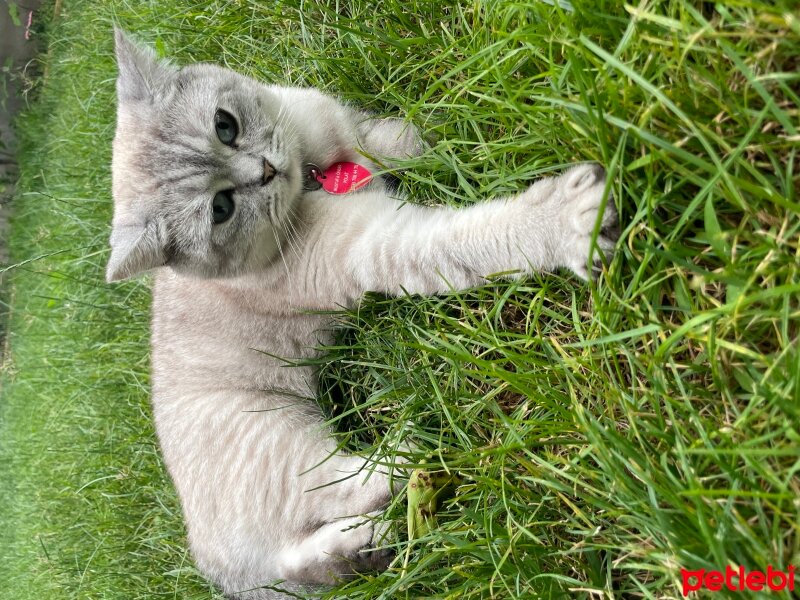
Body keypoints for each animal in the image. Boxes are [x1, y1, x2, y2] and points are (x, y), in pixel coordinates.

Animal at [104, 29, 620, 600]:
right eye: (221, 209)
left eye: (225, 125)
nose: (265, 170)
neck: (312, 172)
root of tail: (223, 574)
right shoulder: (382, 246)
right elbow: (473, 237)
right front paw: (566, 220)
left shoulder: (344, 124)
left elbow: (400, 138)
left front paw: (451, 136)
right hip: (278, 436)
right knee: (338, 497)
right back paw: (404, 455)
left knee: (306, 560)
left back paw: (367, 544)